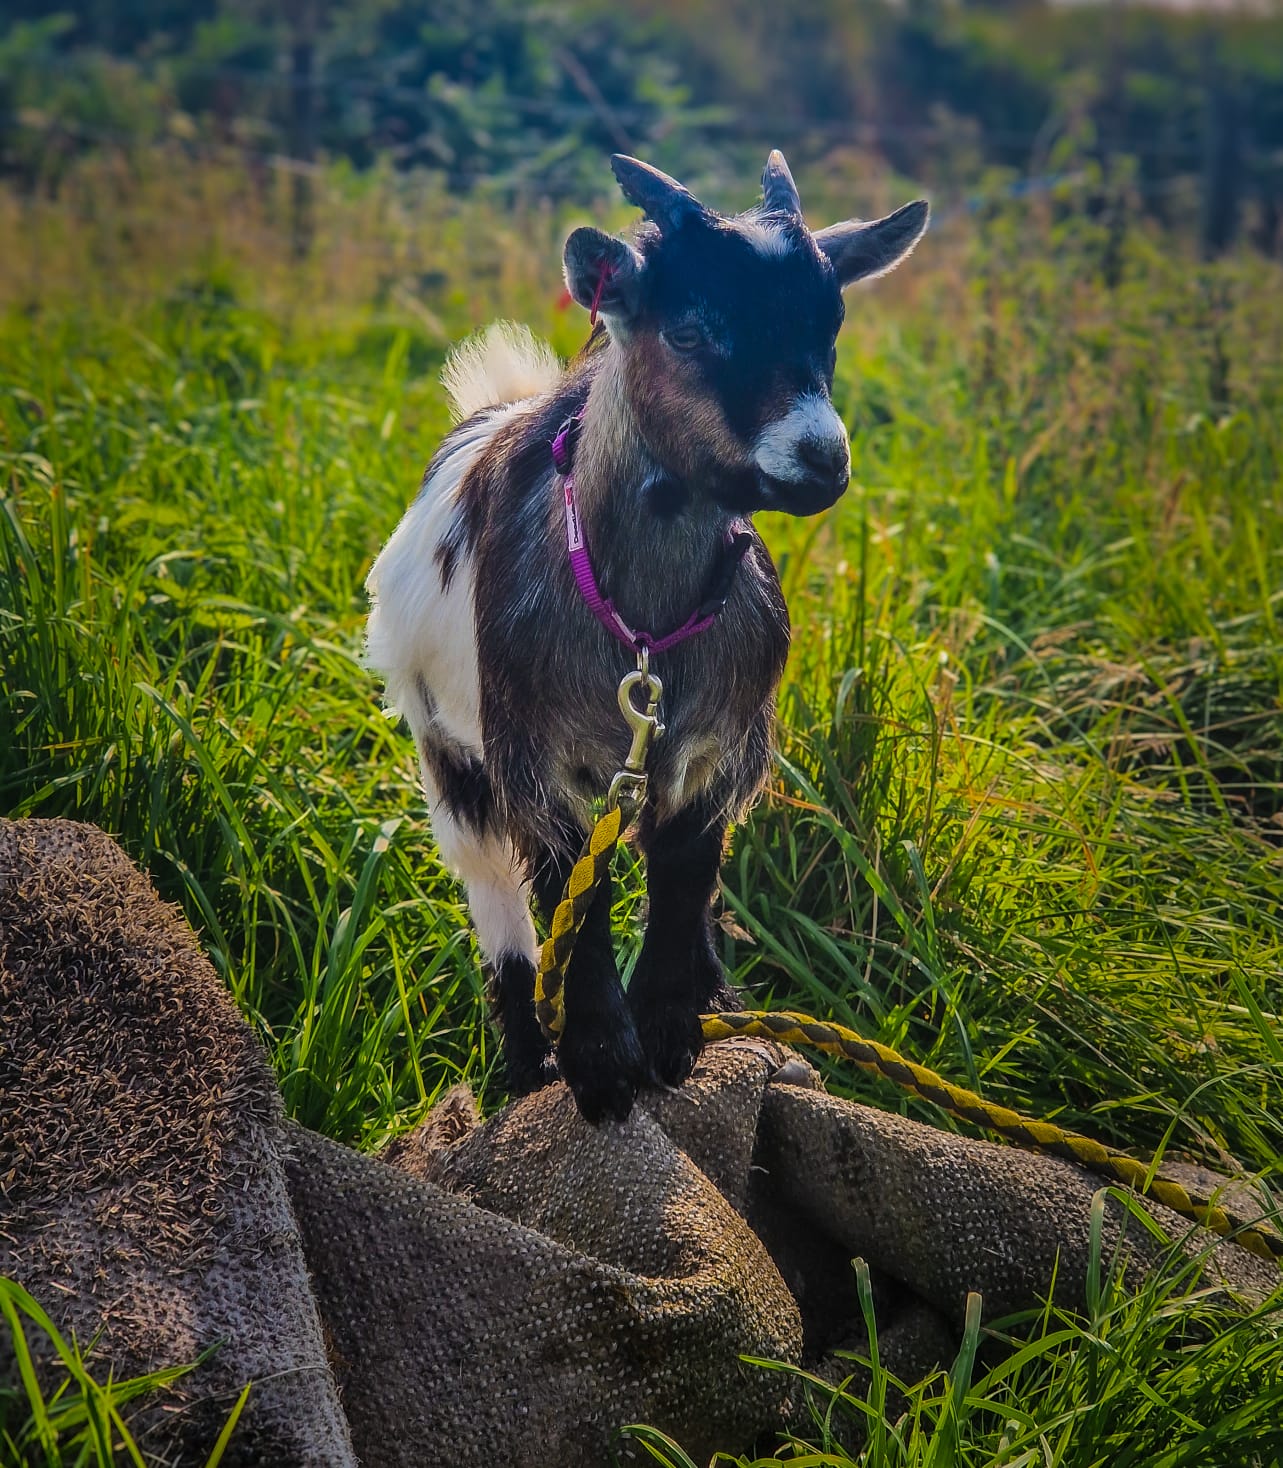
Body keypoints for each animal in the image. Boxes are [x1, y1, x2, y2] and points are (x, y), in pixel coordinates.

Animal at [366, 152, 928, 1123]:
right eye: (691, 330)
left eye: (832, 325)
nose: (822, 459)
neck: (644, 637)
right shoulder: (536, 761)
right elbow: (572, 897)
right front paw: (597, 1061)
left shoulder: (714, 749)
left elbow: (684, 874)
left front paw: (669, 1026)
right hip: (447, 759)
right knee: (500, 911)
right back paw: (527, 1064)